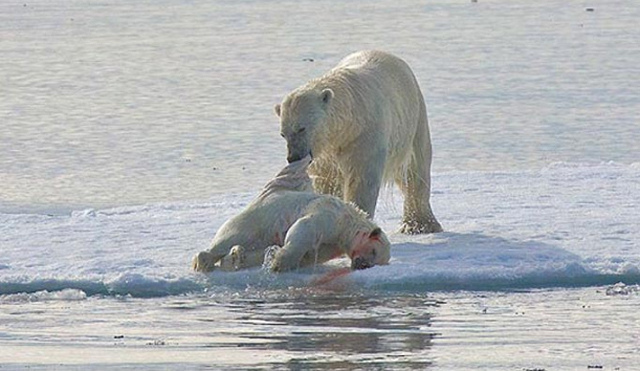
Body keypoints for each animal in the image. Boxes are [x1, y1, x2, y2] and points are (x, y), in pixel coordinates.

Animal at [190, 155, 390, 274]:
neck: (349, 223)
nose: (361, 265)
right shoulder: (330, 215)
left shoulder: (334, 244)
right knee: (231, 237)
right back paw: (205, 262)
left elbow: (312, 253)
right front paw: (279, 263)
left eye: (377, 261)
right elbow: (304, 228)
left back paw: (236, 257)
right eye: (373, 251)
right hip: (254, 219)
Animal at [272, 50, 442, 234]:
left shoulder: (365, 135)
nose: (293, 157)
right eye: (283, 134)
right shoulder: (326, 152)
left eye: (301, 128)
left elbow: (362, 179)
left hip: (413, 120)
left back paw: (421, 224)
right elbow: (327, 180)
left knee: (415, 169)